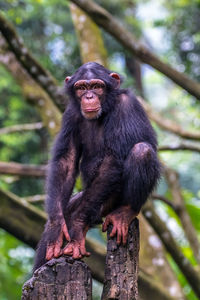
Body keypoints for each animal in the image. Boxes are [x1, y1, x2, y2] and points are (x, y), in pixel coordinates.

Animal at [33, 62, 160, 270]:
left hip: (109, 201)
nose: (89, 96)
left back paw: (125, 212)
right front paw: (55, 229)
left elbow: (114, 158)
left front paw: (77, 226)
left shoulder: (126, 105)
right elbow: (66, 160)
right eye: (82, 87)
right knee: (68, 210)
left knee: (142, 151)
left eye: (96, 86)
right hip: (90, 202)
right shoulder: (70, 114)